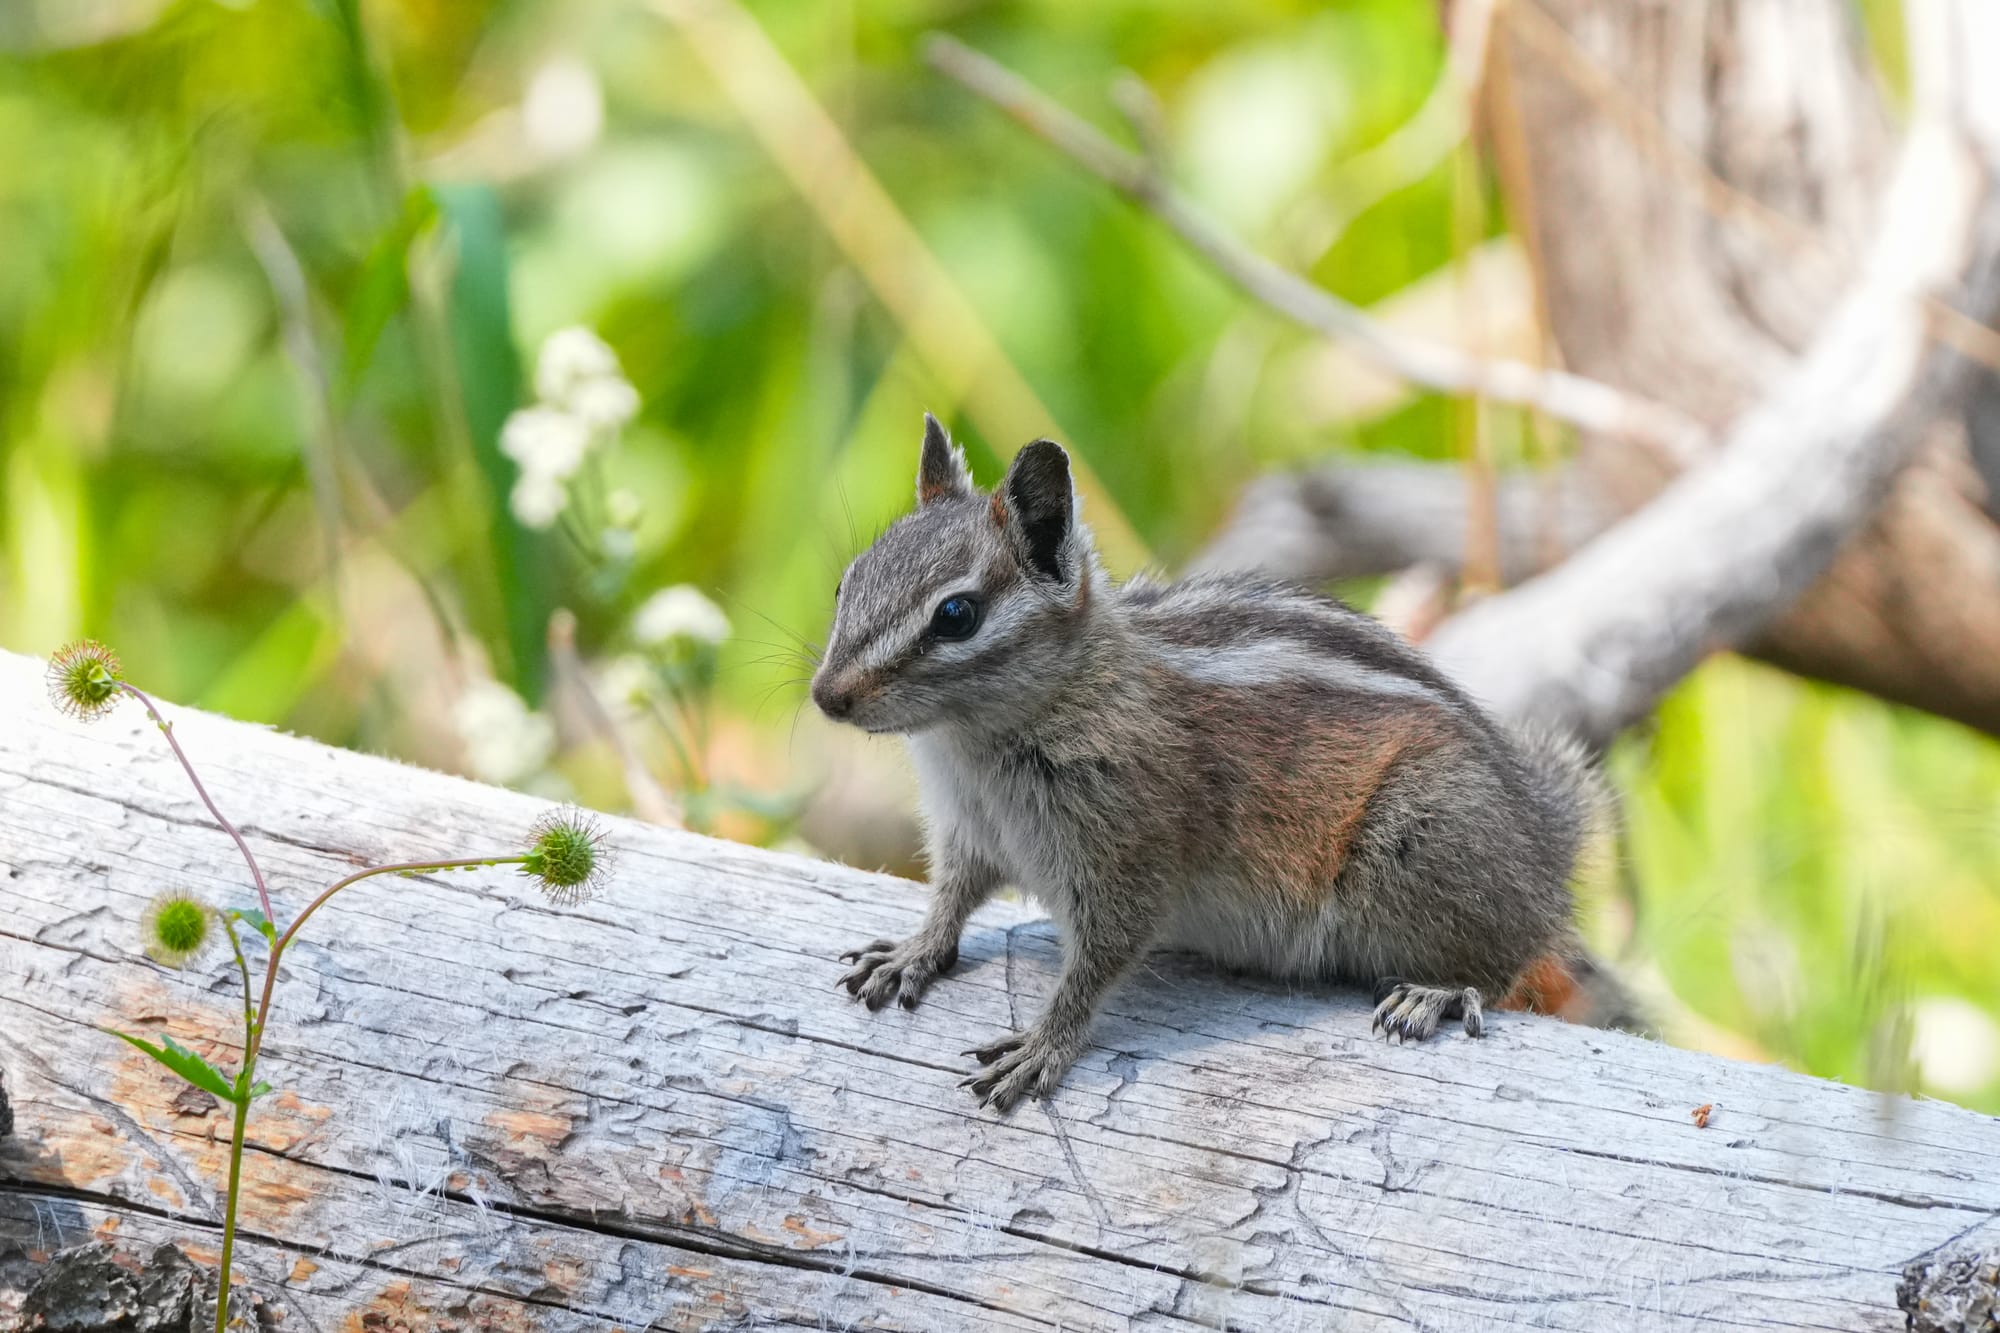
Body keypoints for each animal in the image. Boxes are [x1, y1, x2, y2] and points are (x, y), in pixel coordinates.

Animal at [813, 414, 1635, 1112]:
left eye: (957, 615)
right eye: (846, 579)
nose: (826, 696)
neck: (972, 743)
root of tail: (1545, 833)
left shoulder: (1128, 857)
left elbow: (1098, 961)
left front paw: (1045, 1045)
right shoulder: (968, 830)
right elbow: (952, 895)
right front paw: (913, 952)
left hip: (1424, 841)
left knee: (1508, 956)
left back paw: (1436, 992)